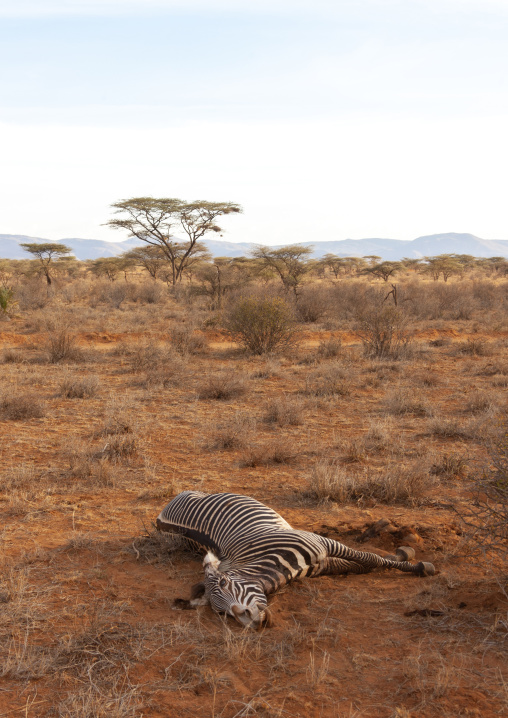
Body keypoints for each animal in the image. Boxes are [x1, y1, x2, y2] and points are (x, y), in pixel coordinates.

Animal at [156, 490, 435, 630]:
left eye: (225, 584)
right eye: (222, 613)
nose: (249, 621)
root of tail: (163, 512)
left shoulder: (322, 545)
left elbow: (369, 559)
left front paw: (416, 563)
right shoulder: (322, 563)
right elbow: (361, 566)